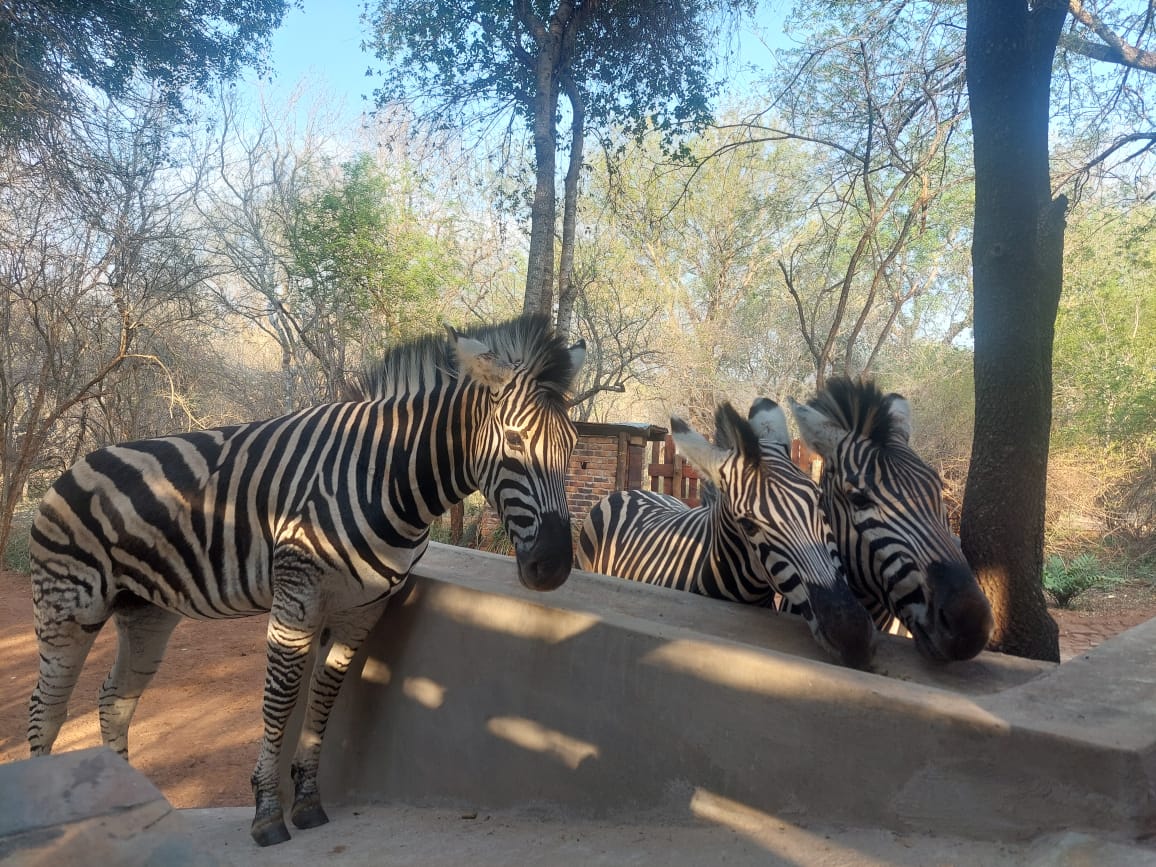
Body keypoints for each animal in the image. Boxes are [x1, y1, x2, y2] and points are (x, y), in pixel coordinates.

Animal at [27, 314, 585, 847]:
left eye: (575, 447)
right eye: (514, 441)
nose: (554, 566)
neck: (386, 476)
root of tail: (71, 466)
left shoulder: (363, 609)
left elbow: (324, 696)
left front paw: (309, 801)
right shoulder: (297, 596)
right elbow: (281, 699)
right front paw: (267, 813)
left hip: (146, 611)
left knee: (114, 698)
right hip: (68, 607)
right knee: (46, 707)